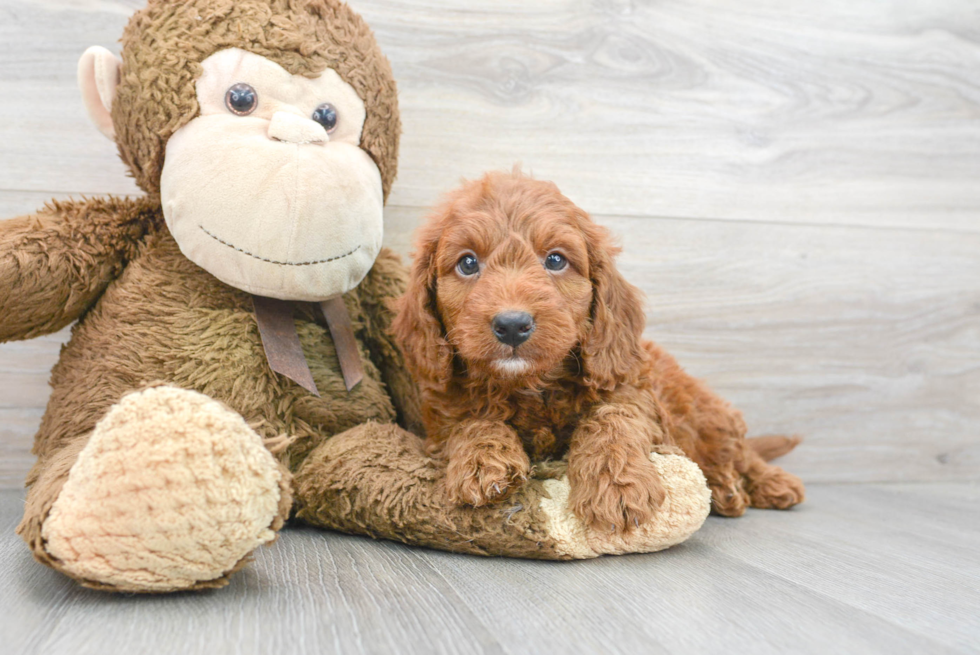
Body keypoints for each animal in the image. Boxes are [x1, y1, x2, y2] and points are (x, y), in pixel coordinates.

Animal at [390, 170, 804, 532]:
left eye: (556, 260)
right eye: (467, 263)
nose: (511, 325)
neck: (530, 386)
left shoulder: (633, 390)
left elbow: (611, 420)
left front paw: (617, 486)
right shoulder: (444, 410)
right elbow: (471, 421)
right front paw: (482, 462)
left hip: (709, 416)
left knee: (741, 452)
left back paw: (765, 484)